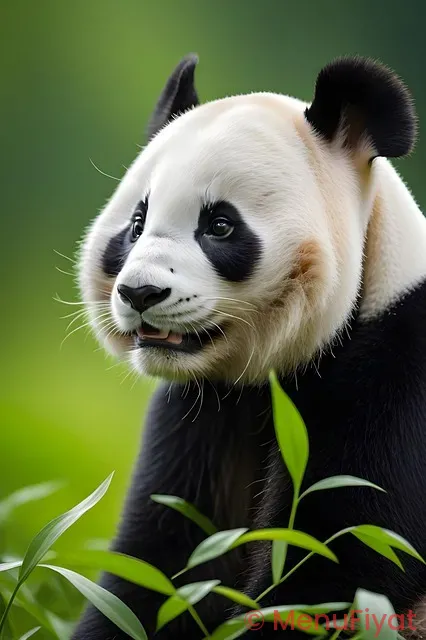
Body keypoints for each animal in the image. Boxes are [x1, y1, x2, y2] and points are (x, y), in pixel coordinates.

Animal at [74, 54, 426, 639]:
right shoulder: (203, 415)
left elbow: (340, 562)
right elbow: (161, 563)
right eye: (137, 224)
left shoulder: (396, 378)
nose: (141, 293)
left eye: (219, 225)